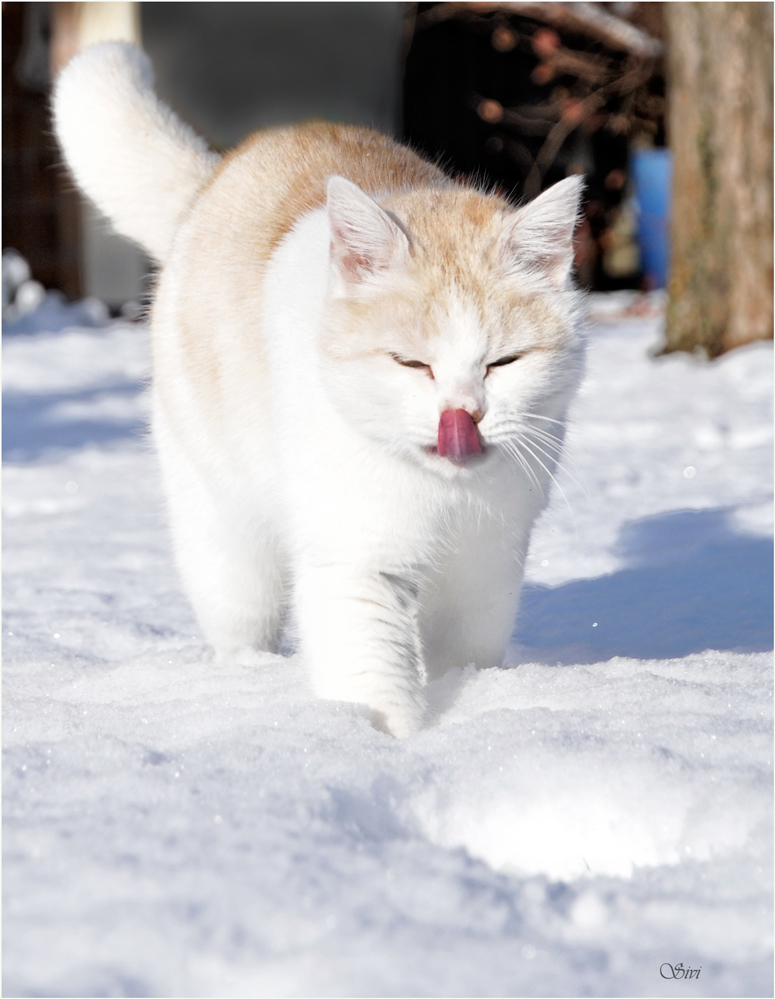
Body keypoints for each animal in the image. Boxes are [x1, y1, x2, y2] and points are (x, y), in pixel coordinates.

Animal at [54, 43, 584, 740]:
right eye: (410, 363)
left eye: (503, 362)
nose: (462, 414)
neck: (441, 495)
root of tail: (217, 175)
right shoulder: (353, 560)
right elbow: (372, 680)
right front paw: (380, 744)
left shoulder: (485, 565)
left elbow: (463, 660)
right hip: (229, 543)